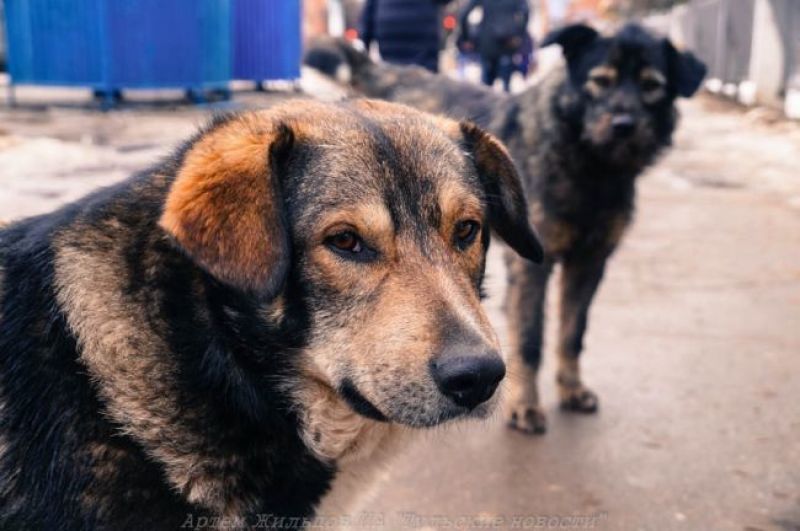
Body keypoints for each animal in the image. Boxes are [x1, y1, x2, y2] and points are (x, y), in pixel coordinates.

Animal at [306, 22, 708, 434]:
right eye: (600, 81)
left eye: (651, 85)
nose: (623, 126)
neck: (591, 167)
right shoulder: (533, 267)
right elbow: (530, 339)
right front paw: (526, 405)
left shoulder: (590, 262)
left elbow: (573, 332)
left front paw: (572, 388)